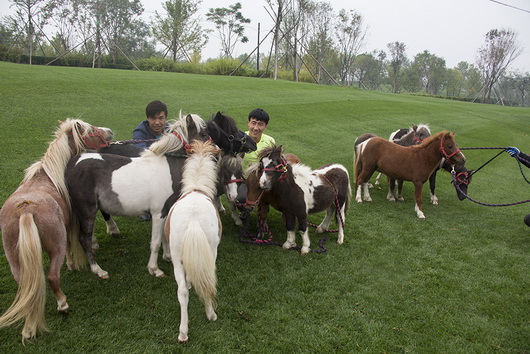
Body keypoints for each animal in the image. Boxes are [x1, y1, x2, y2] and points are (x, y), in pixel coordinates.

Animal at [0, 119, 112, 342]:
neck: (50, 175)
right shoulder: (68, 226)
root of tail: (26, 210)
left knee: (25, 285)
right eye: (92, 130)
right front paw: (72, 264)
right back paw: (63, 304)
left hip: (13, 256)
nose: (110, 132)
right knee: (52, 276)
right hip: (54, 245)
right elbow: (72, 244)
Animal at [166, 139, 222, 342]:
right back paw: (211, 314)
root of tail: (193, 221)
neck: (196, 189)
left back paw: (183, 332)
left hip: (176, 256)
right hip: (212, 252)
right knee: (208, 283)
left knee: (181, 291)